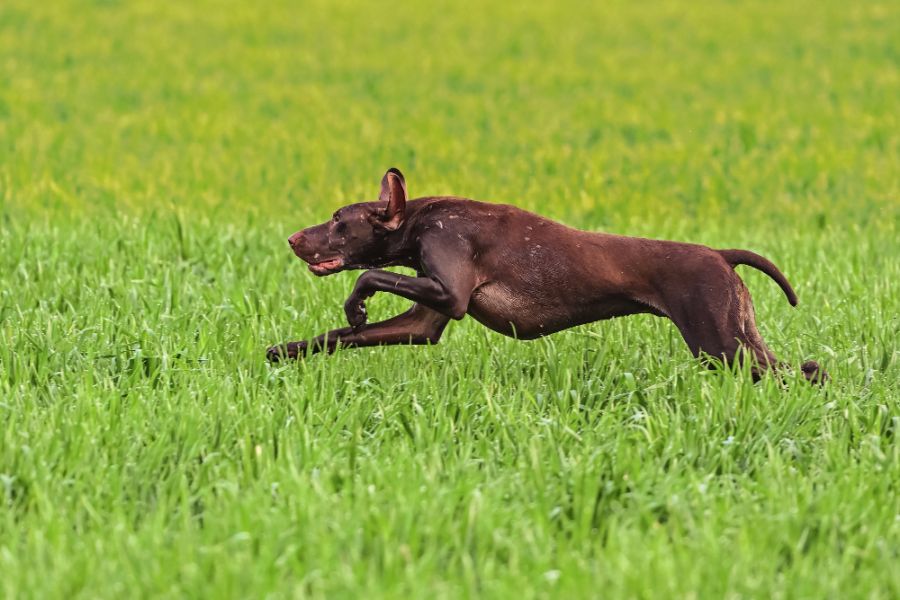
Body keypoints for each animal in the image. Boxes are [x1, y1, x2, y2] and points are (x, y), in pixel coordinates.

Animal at [266, 168, 824, 384]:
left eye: (338, 221)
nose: (292, 238)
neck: (420, 218)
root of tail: (720, 254)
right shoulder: (422, 323)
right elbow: (335, 336)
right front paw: (282, 352)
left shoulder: (450, 291)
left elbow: (371, 277)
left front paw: (355, 304)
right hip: (739, 339)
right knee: (806, 370)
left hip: (720, 345)